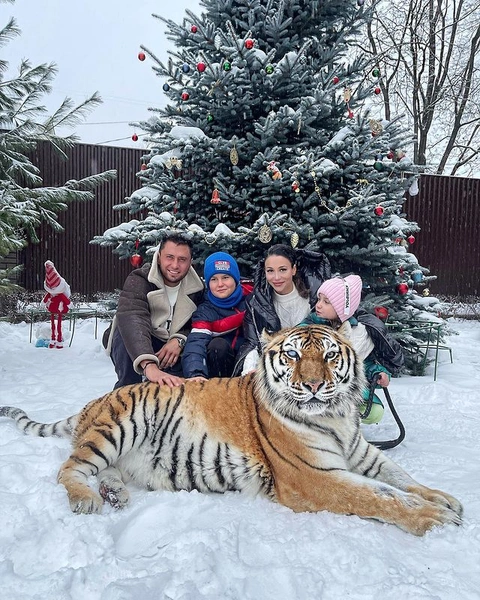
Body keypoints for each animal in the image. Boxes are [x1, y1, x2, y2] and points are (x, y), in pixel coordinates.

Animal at [0, 326, 464, 536]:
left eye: (331, 356)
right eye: (293, 355)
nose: (315, 385)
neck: (335, 416)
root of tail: (92, 403)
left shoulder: (363, 454)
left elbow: (400, 477)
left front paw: (444, 498)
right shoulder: (313, 478)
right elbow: (379, 495)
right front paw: (434, 518)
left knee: (104, 470)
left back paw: (114, 493)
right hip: (120, 424)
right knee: (69, 468)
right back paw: (88, 500)